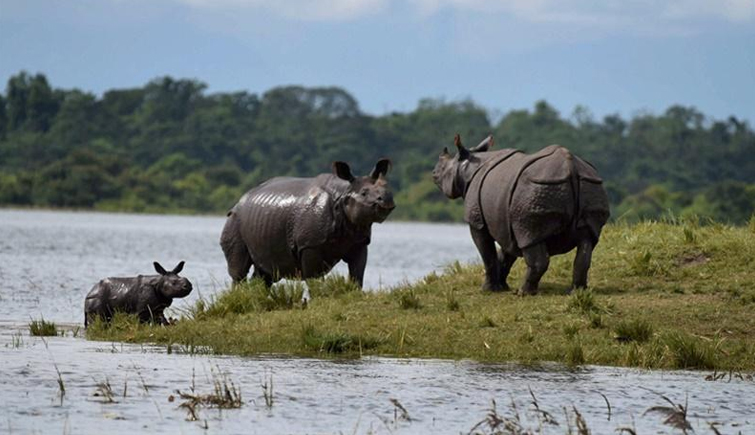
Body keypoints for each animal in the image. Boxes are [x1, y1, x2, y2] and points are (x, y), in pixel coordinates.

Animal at [219, 158, 396, 288]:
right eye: (364, 193)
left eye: (387, 188)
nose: (387, 199)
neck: (343, 193)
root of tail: (240, 199)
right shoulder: (310, 244)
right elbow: (313, 278)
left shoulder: (359, 241)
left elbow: (357, 275)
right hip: (234, 219)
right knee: (239, 271)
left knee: (266, 273)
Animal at [434, 135, 612, 294]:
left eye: (442, 169)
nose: (434, 173)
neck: (468, 167)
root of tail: (571, 168)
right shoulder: (507, 223)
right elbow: (506, 253)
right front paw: (502, 287)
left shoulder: (476, 220)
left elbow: (487, 253)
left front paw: (488, 290)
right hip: (590, 185)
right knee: (586, 242)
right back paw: (576, 292)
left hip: (535, 191)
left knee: (531, 238)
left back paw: (523, 292)